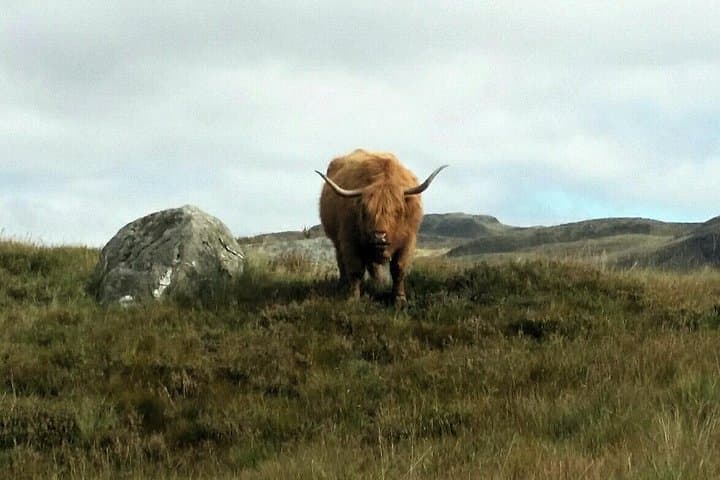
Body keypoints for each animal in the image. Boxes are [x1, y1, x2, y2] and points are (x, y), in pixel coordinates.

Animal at [316, 149, 447, 304]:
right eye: (365, 210)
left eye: (397, 211)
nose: (379, 236)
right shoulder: (349, 241)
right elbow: (355, 269)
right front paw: (353, 298)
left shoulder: (408, 241)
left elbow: (399, 268)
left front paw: (399, 299)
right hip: (337, 241)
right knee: (342, 262)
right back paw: (342, 285)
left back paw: (377, 285)